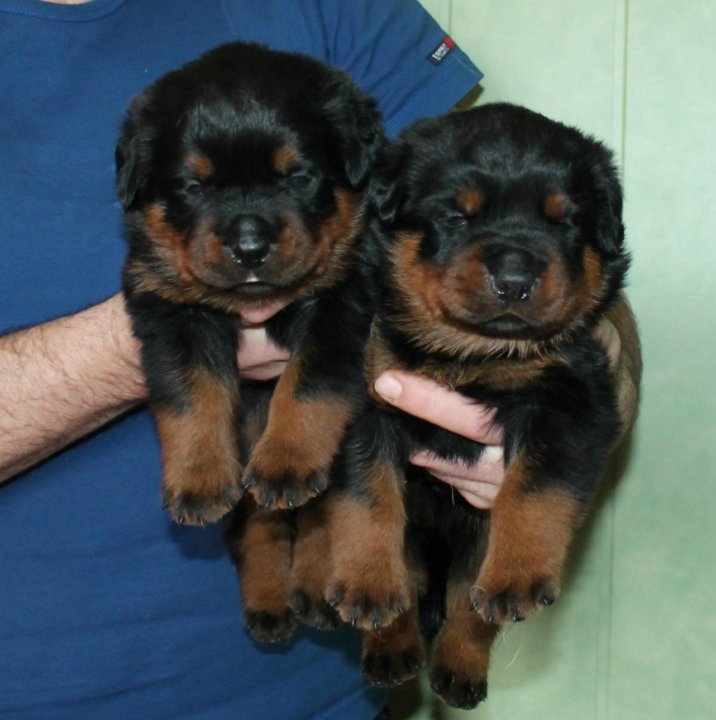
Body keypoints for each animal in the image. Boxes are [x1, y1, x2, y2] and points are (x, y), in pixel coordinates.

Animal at [117, 45, 384, 640]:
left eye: (299, 177)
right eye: (193, 187)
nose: (249, 247)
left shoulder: (344, 305)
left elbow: (309, 387)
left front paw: (287, 458)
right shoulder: (169, 310)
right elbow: (192, 395)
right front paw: (197, 474)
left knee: (315, 515)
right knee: (260, 523)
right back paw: (269, 602)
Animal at [326, 104, 632, 704]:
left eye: (563, 221)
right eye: (456, 216)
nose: (514, 280)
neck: (474, 354)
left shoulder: (574, 403)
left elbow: (534, 490)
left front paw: (518, 573)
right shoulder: (365, 396)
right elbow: (367, 495)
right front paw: (366, 581)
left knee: (469, 602)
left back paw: (460, 667)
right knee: (411, 579)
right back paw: (391, 646)